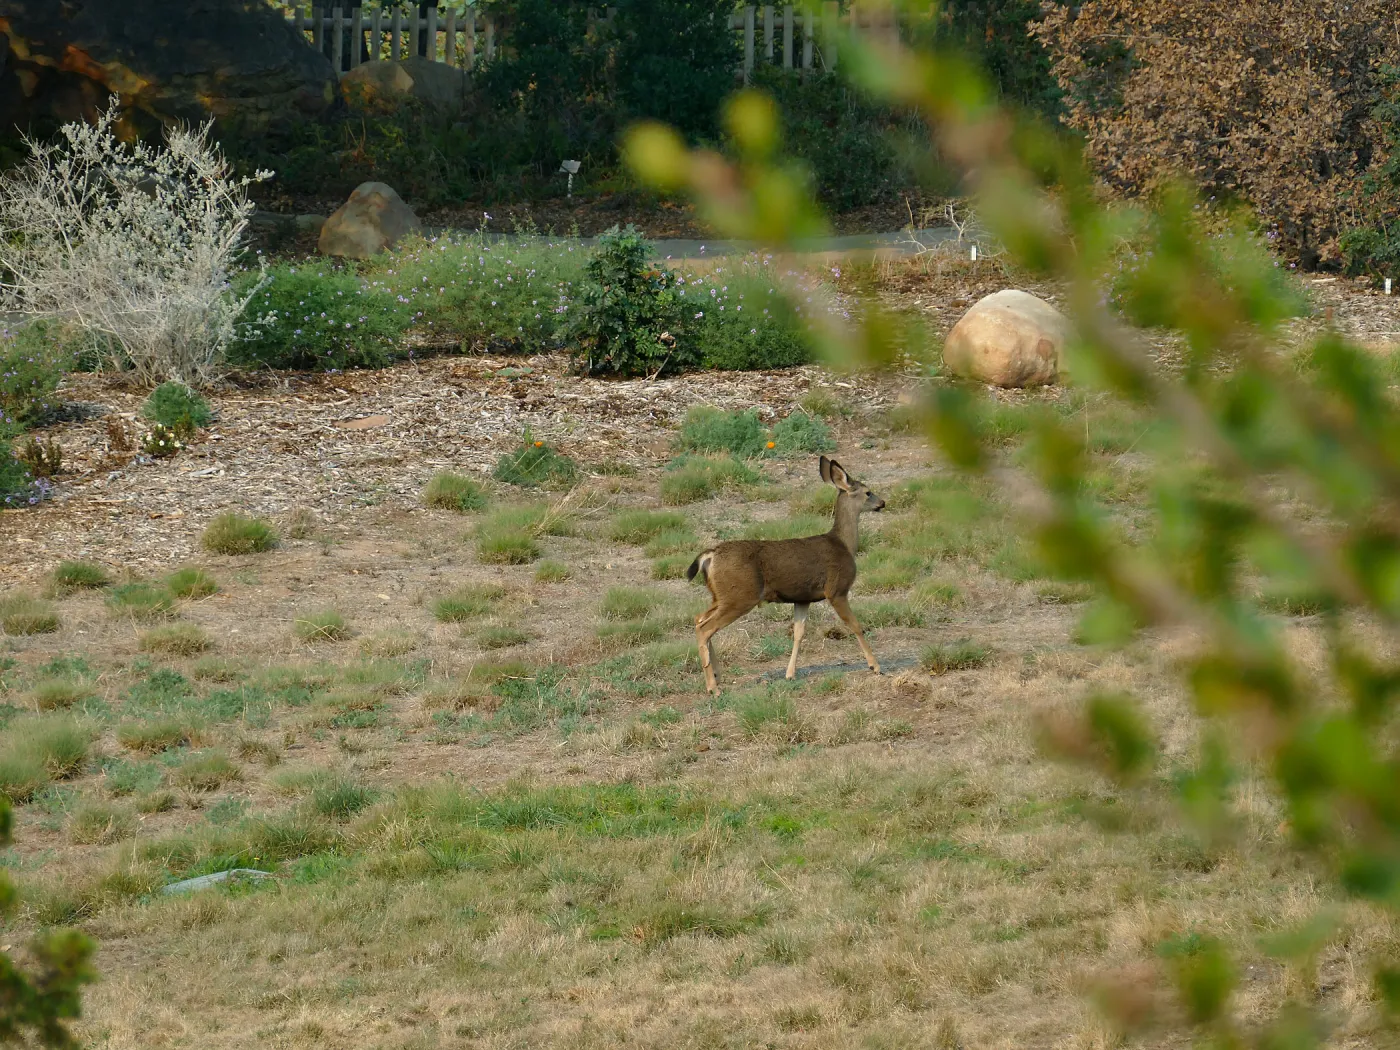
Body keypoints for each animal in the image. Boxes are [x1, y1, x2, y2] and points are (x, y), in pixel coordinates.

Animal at [686, 455, 886, 695]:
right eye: (867, 492)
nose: (882, 503)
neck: (844, 545)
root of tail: (710, 555)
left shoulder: (803, 598)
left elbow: (799, 633)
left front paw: (790, 674)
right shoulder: (836, 589)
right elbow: (855, 625)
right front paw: (875, 666)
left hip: (721, 596)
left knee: (699, 619)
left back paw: (717, 675)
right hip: (740, 596)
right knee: (706, 628)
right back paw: (713, 688)